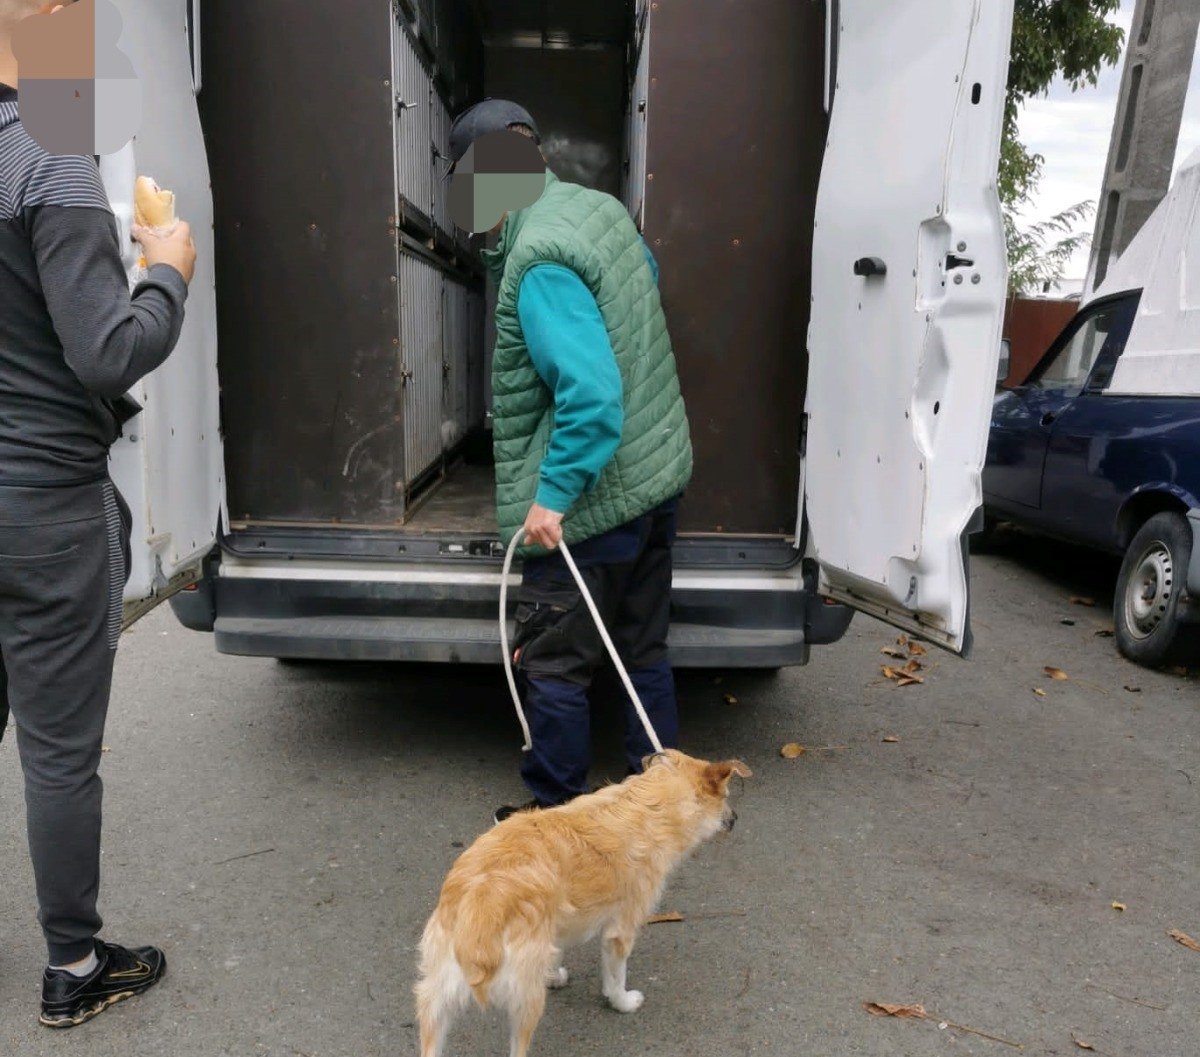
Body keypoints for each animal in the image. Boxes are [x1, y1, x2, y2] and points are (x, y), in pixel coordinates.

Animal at [417, 748, 744, 1051]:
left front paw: (554, 975)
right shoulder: (620, 931)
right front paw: (622, 1002)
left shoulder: (556, 924)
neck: (650, 803)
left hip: (436, 1000)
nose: (735, 819)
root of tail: (481, 904)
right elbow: (615, 977)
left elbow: (557, 952)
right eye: (726, 796)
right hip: (526, 1001)